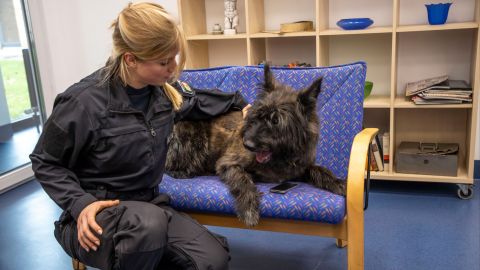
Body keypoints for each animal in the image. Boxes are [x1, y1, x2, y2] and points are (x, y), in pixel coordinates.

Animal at [166, 66, 344, 228]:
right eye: (257, 115)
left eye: (276, 121)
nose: (247, 144)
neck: (281, 158)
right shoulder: (228, 163)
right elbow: (243, 180)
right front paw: (249, 208)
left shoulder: (301, 167)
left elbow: (320, 170)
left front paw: (338, 183)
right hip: (191, 131)